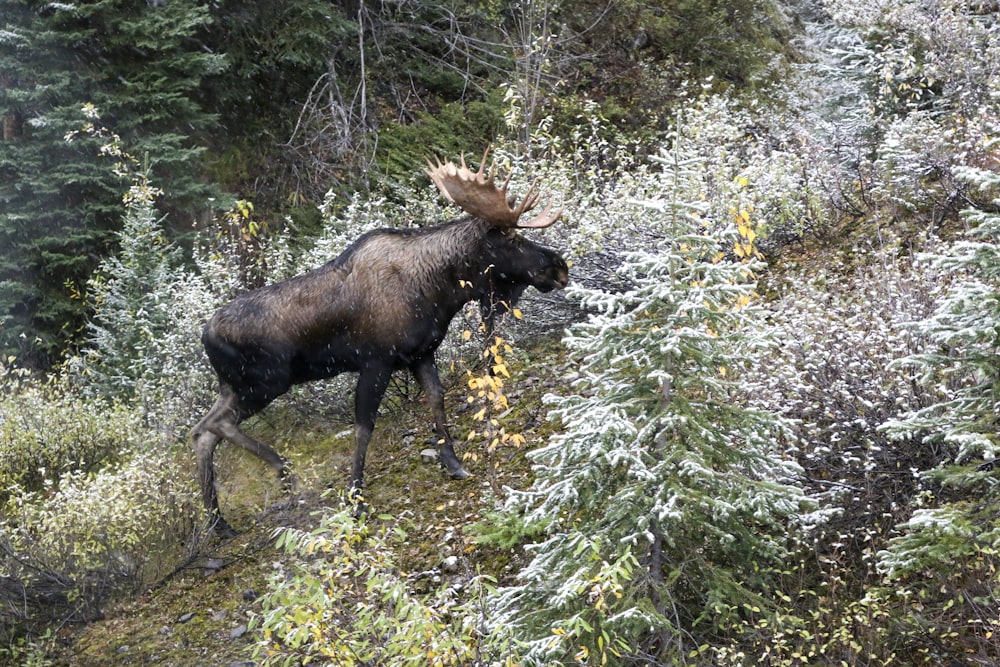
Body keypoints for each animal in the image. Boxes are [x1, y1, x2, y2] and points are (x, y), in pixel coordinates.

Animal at [190, 150, 568, 532]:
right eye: (511, 239)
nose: (559, 266)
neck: (439, 290)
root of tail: (206, 337)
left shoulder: (420, 354)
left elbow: (437, 399)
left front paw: (453, 462)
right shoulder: (377, 361)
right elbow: (364, 427)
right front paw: (355, 498)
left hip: (236, 386)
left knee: (202, 432)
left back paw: (217, 522)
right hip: (265, 383)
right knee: (215, 425)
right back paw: (284, 473)